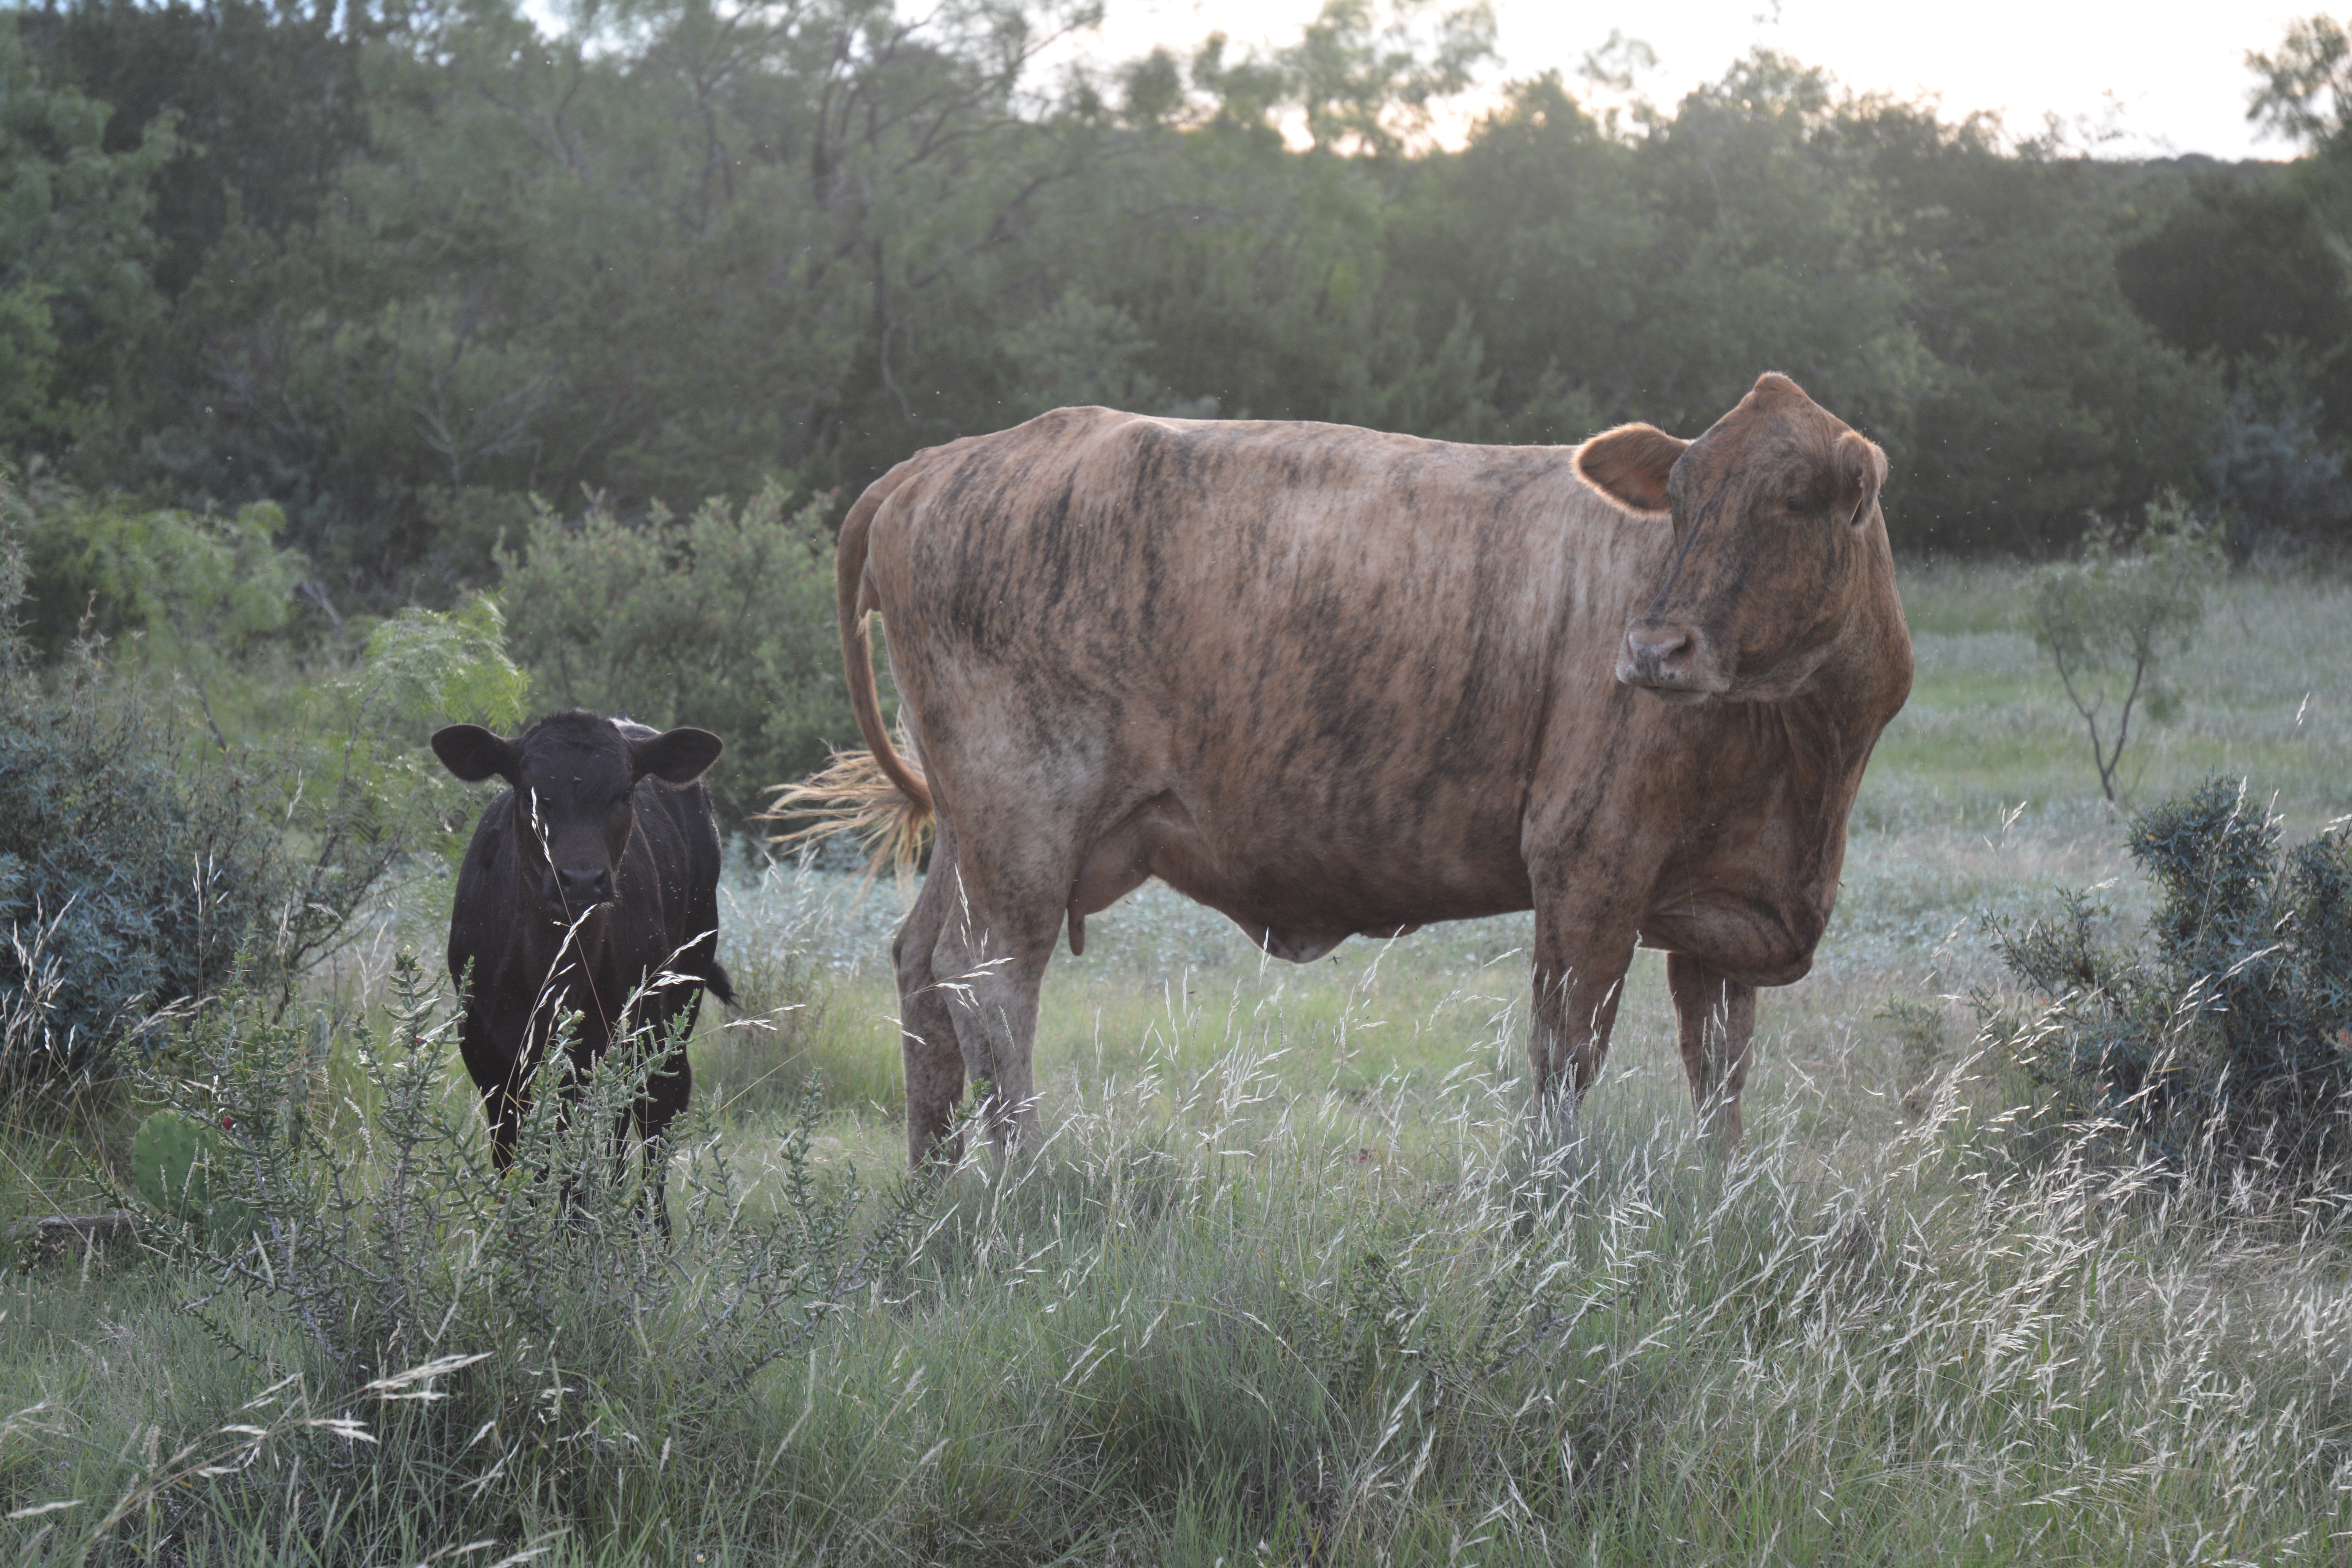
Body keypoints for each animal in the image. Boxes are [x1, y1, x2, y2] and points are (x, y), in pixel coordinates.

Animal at [823, 376, 1910, 1166]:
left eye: (1797, 501)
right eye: (1678, 501)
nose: (1653, 649)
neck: (1807, 771)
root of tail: (939, 463)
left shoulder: (1725, 911)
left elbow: (1720, 1081)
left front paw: (1719, 1203)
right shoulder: (1589, 862)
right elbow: (1567, 1058)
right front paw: (1553, 1210)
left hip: (969, 824)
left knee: (921, 968)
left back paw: (933, 1191)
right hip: (1022, 813)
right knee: (989, 980)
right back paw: (1025, 1182)